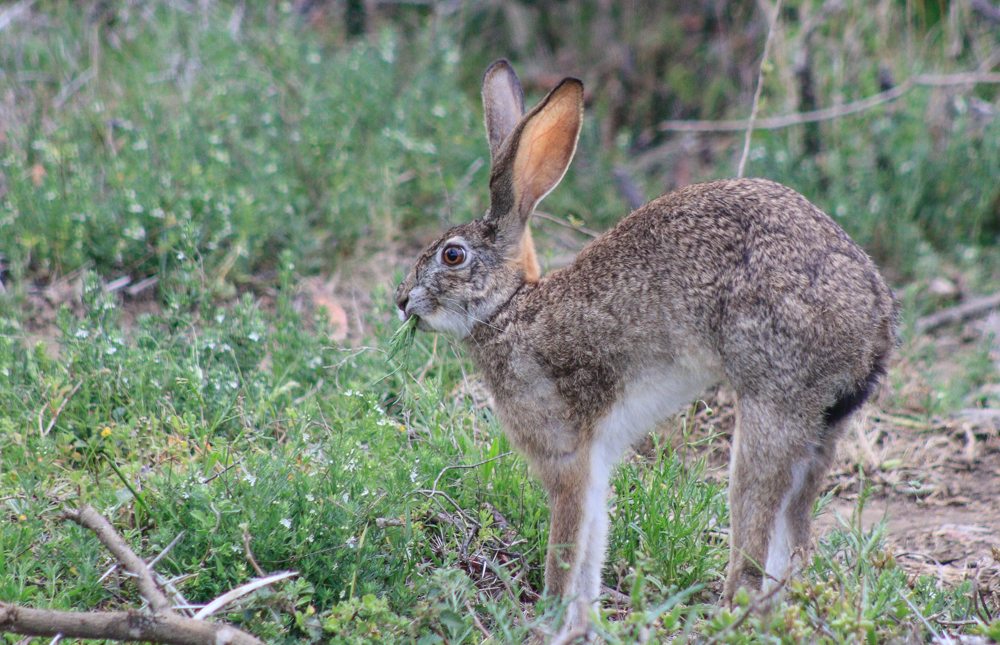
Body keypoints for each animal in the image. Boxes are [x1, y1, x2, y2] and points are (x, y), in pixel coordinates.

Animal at [395, 59, 897, 642]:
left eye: (452, 256)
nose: (402, 300)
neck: (508, 310)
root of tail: (876, 319)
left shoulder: (566, 456)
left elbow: (566, 551)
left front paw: (552, 623)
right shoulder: (596, 461)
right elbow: (592, 546)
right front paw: (582, 624)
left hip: (772, 405)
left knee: (754, 538)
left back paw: (730, 618)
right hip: (823, 428)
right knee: (794, 539)